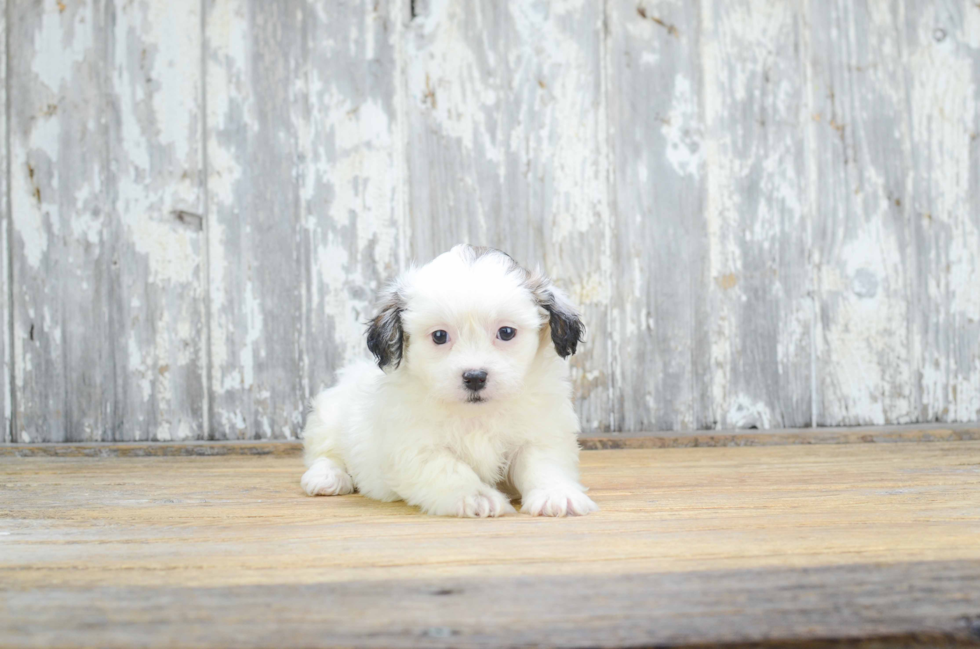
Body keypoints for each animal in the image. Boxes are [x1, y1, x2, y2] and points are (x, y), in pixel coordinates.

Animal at [300, 243, 596, 516]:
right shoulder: (415, 447)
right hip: (328, 419)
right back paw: (326, 477)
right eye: (440, 336)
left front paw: (556, 495)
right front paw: (477, 497)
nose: (475, 377)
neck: (476, 414)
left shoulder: (540, 432)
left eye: (506, 332)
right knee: (325, 453)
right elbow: (450, 469)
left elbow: (543, 463)